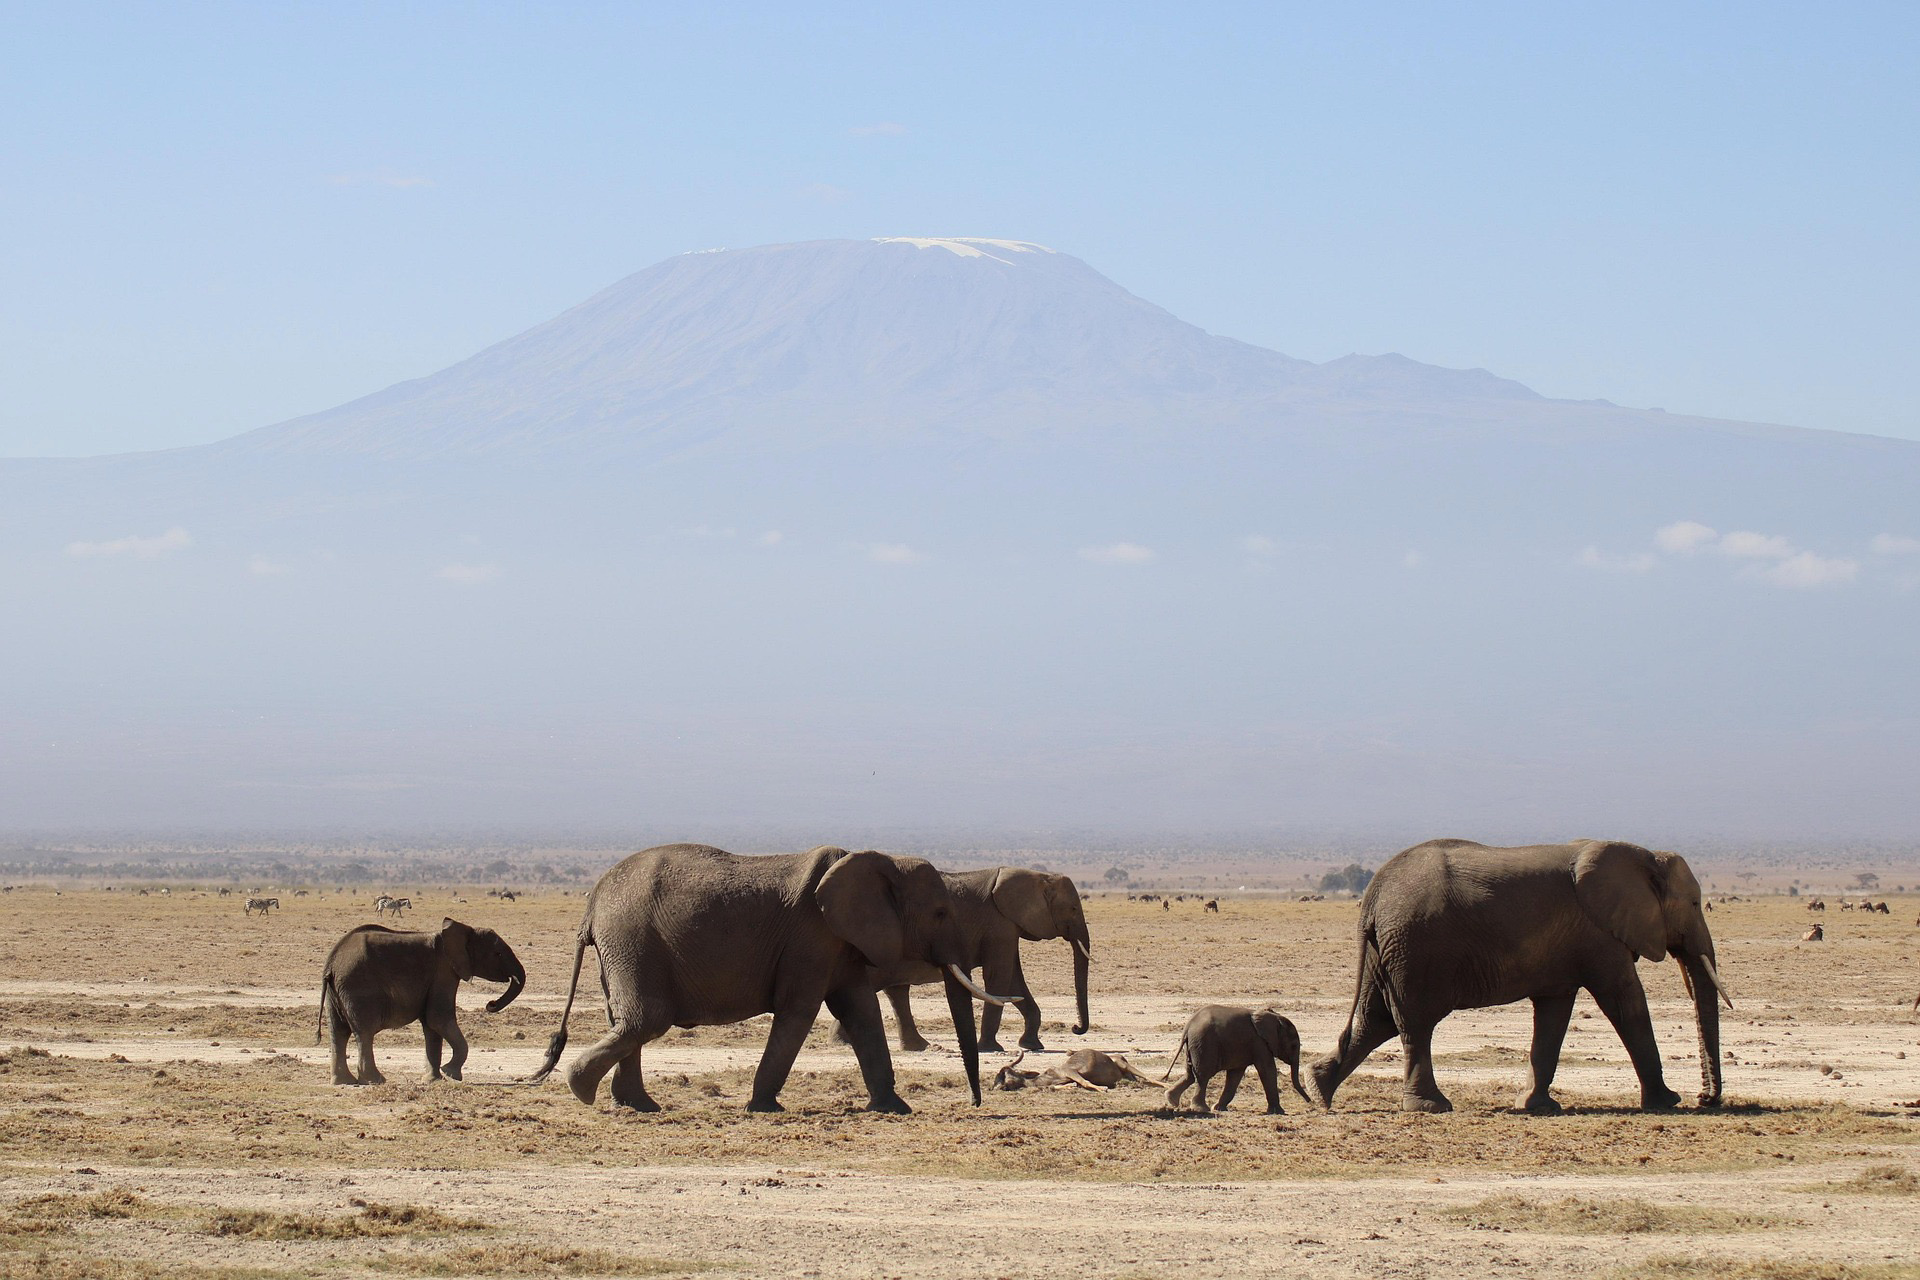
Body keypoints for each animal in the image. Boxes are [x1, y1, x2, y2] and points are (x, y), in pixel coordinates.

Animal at [318, 918, 526, 1085]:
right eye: (497, 954)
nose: (490, 1004)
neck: (464, 930)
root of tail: (331, 964)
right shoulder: (444, 972)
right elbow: (438, 1019)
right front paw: (450, 1073)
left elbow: (431, 1026)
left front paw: (433, 1080)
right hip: (358, 986)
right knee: (364, 1033)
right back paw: (375, 1081)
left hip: (336, 992)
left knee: (338, 1032)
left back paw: (343, 1082)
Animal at [528, 844, 1012, 1114]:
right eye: (941, 913)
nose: (974, 1103)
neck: (883, 860)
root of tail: (592, 902)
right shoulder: (812, 937)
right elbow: (799, 1011)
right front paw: (763, 1108)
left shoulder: (839, 942)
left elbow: (861, 1011)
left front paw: (895, 1110)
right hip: (632, 941)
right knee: (646, 1019)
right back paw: (582, 1090)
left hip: (623, 948)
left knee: (628, 1020)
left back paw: (638, 1107)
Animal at [845, 867, 1092, 1054]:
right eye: (1073, 909)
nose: (1075, 1028)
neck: (1038, 875)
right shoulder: (999, 925)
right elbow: (999, 977)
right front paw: (991, 1048)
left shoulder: (1008, 926)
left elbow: (1014, 980)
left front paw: (1031, 1045)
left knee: (896, 991)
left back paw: (915, 1046)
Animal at [1162, 1005, 1310, 1114]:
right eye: (1294, 1045)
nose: (1310, 1102)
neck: (1275, 1017)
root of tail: (1188, 1026)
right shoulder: (1259, 1043)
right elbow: (1267, 1070)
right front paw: (1279, 1112)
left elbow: (1235, 1075)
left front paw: (1218, 1108)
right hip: (1204, 1044)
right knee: (1202, 1076)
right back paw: (1201, 1109)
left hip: (1194, 1046)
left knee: (1190, 1075)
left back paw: (1172, 1100)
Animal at [1308, 839, 1731, 1116]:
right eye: (1695, 903)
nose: (1705, 1099)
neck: (1644, 855)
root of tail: (1372, 895)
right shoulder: (1599, 935)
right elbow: (1625, 1002)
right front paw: (1668, 1102)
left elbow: (1553, 1014)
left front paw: (1536, 1106)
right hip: (1415, 949)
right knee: (1414, 1024)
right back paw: (1430, 1107)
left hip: (1388, 950)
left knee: (1375, 1021)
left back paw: (1317, 1090)